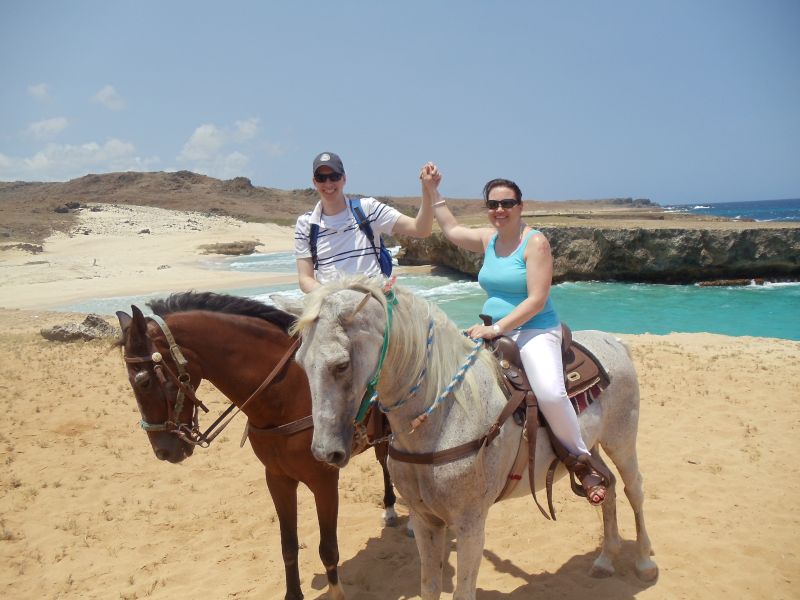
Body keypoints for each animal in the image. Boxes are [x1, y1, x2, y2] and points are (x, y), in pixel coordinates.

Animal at [115, 292, 396, 600]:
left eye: (143, 381)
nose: (163, 451)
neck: (289, 394)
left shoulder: (323, 481)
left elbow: (328, 550)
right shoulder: (277, 478)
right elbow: (288, 546)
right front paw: (292, 595)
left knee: (386, 464)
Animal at [292, 276, 656, 600]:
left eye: (341, 365)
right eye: (300, 363)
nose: (324, 452)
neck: (441, 416)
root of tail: (612, 341)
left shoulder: (470, 524)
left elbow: (463, 592)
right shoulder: (425, 522)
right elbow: (429, 588)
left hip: (621, 440)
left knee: (633, 488)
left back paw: (644, 561)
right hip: (591, 447)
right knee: (607, 487)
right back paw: (606, 559)